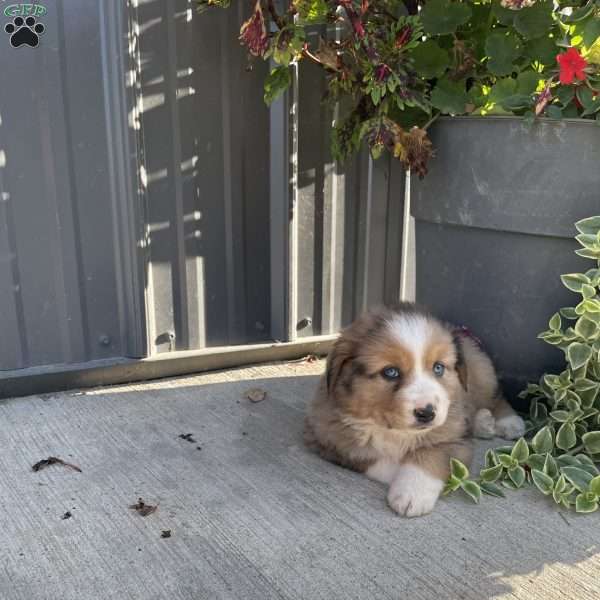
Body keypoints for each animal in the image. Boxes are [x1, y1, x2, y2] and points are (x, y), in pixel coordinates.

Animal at [304, 302, 524, 516]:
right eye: (391, 372)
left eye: (438, 368)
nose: (427, 413)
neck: (395, 430)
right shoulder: (329, 438)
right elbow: (374, 458)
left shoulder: (454, 437)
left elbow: (430, 453)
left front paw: (413, 494)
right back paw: (483, 423)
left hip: (481, 375)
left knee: (496, 397)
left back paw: (508, 422)